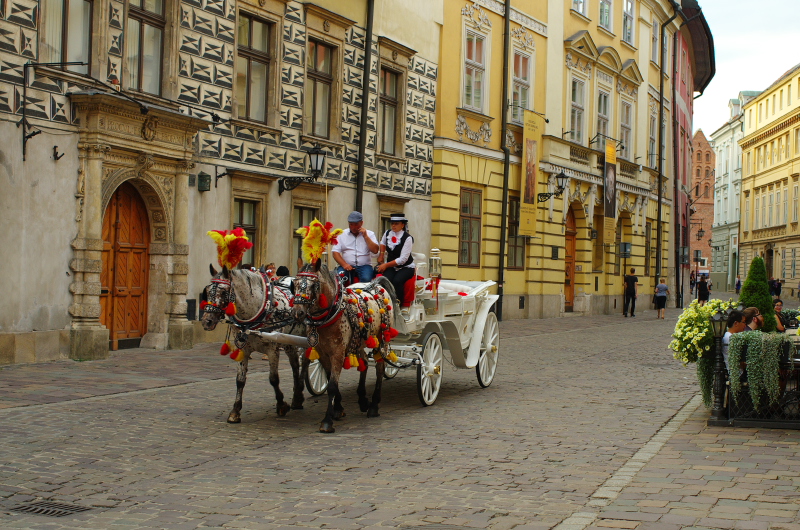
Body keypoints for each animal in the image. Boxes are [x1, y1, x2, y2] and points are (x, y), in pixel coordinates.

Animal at [202, 264, 308, 420]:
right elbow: (240, 380)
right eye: (207, 291)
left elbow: (273, 379)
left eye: (223, 291)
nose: (206, 321)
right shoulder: (242, 349)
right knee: (295, 365)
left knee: (305, 362)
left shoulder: (272, 349)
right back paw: (297, 398)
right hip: (290, 341)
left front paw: (281, 405)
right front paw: (235, 411)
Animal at [292, 258, 398, 432]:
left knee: (380, 368)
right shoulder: (323, 353)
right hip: (360, 341)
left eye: (314, 285)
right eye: (294, 283)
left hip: (382, 338)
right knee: (364, 362)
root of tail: (375, 284)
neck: (328, 316)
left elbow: (332, 386)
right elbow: (331, 381)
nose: (298, 312)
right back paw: (363, 400)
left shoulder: (338, 353)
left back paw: (374, 406)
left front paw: (327, 421)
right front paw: (338, 409)